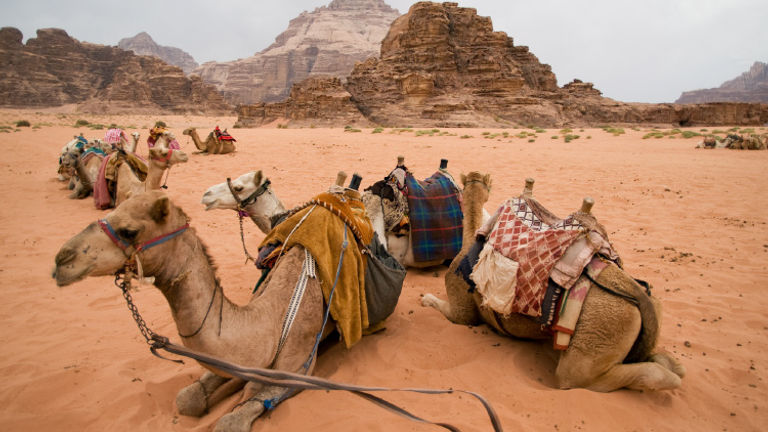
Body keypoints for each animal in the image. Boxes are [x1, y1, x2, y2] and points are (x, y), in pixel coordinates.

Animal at [51, 192, 328, 432]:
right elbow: (188, 398)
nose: (61, 259)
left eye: (129, 231)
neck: (276, 315)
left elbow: (232, 420)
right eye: (110, 212)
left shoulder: (301, 369)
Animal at [420, 172, 684, 392]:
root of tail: (636, 294)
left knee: (580, 376)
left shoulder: (461, 303)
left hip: (601, 332)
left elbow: (454, 312)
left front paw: (425, 298)